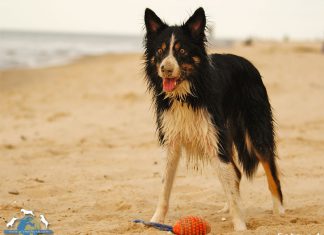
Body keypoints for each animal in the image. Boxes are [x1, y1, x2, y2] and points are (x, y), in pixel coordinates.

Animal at [144, 7, 284, 231]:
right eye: (160, 51)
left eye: (182, 51)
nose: (165, 69)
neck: (187, 95)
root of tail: (247, 62)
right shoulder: (172, 140)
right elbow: (164, 187)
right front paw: (156, 220)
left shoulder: (213, 136)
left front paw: (240, 227)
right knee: (235, 173)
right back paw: (227, 207)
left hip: (254, 129)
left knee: (269, 168)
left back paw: (279, 211)